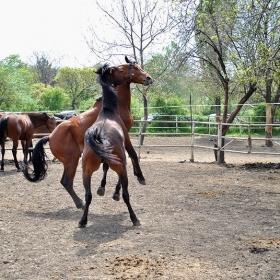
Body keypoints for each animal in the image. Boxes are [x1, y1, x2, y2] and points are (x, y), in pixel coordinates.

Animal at [22, 56, 153, 210]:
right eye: (134, 68)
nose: (148, 78)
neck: (113, 106)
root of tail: (50, 136)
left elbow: (107, 165)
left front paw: (104, 188)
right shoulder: (124, 135)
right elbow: (131, 155)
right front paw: (135, 180)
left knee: (65, 182)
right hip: (72, 161)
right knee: (66, 182)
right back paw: (81, 203)